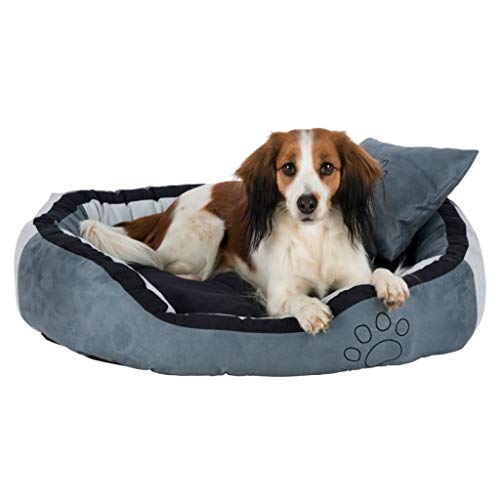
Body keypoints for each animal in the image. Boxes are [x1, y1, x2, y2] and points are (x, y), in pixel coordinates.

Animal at [81, 129, 409, 334]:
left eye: (327, 167)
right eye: (288, 168)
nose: (306, 203)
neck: (312, 238)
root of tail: (168, 209)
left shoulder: (354, 278)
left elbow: (376, 274)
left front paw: (391, 283)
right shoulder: (277, 297)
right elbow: (297, 299)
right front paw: (312, 309)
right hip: (210, 227)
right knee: (167, 266)